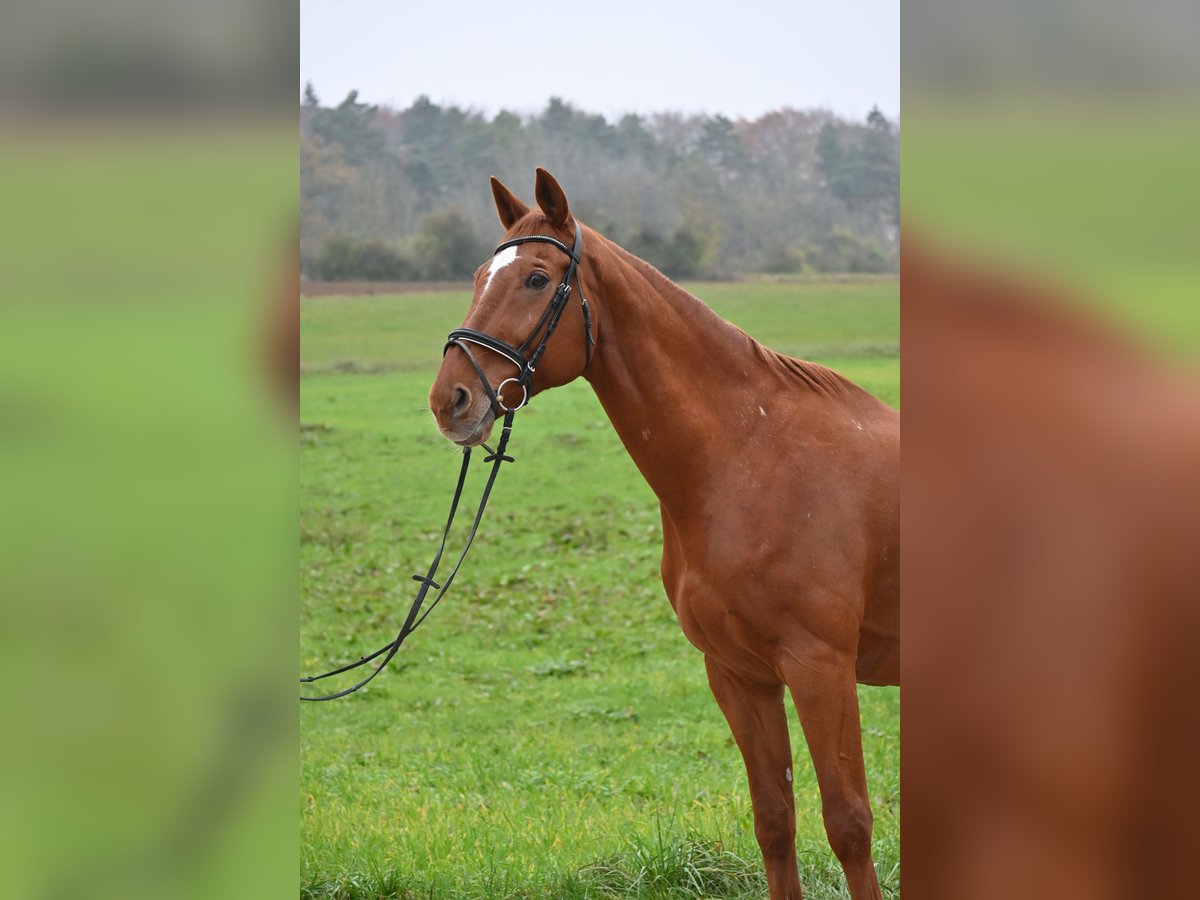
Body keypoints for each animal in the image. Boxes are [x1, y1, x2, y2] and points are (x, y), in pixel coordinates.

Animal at [429, 169, 899, 900]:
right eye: (480, 275)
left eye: (536, 279)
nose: (450, 399)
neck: (750, 459)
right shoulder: (739, 675)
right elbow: (775, 819)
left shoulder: (820, 668)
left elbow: (848, 823)